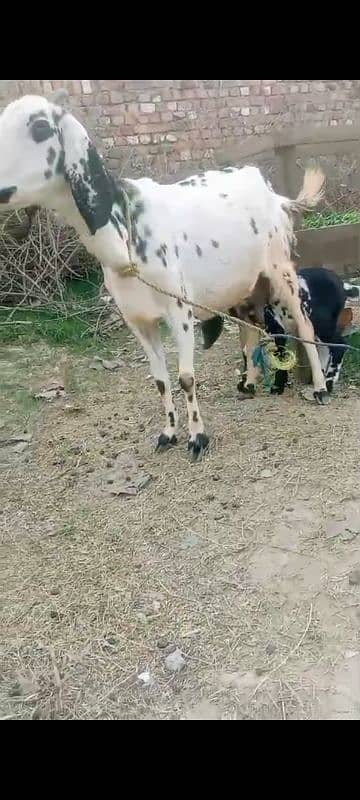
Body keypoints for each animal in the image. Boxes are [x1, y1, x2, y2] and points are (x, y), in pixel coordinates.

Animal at [0, 90, 328, 460]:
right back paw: (248, 384)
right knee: (251, 327)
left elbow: (186, 377)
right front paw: (168, 433)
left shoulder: (179, 312)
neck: (125, 237)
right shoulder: (138, 321)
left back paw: (318, 388)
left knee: (304, 326)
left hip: (280, 271)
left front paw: (197, 438)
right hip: (241, 286)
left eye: (41, 127)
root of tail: (277, 197)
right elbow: (160, 379)